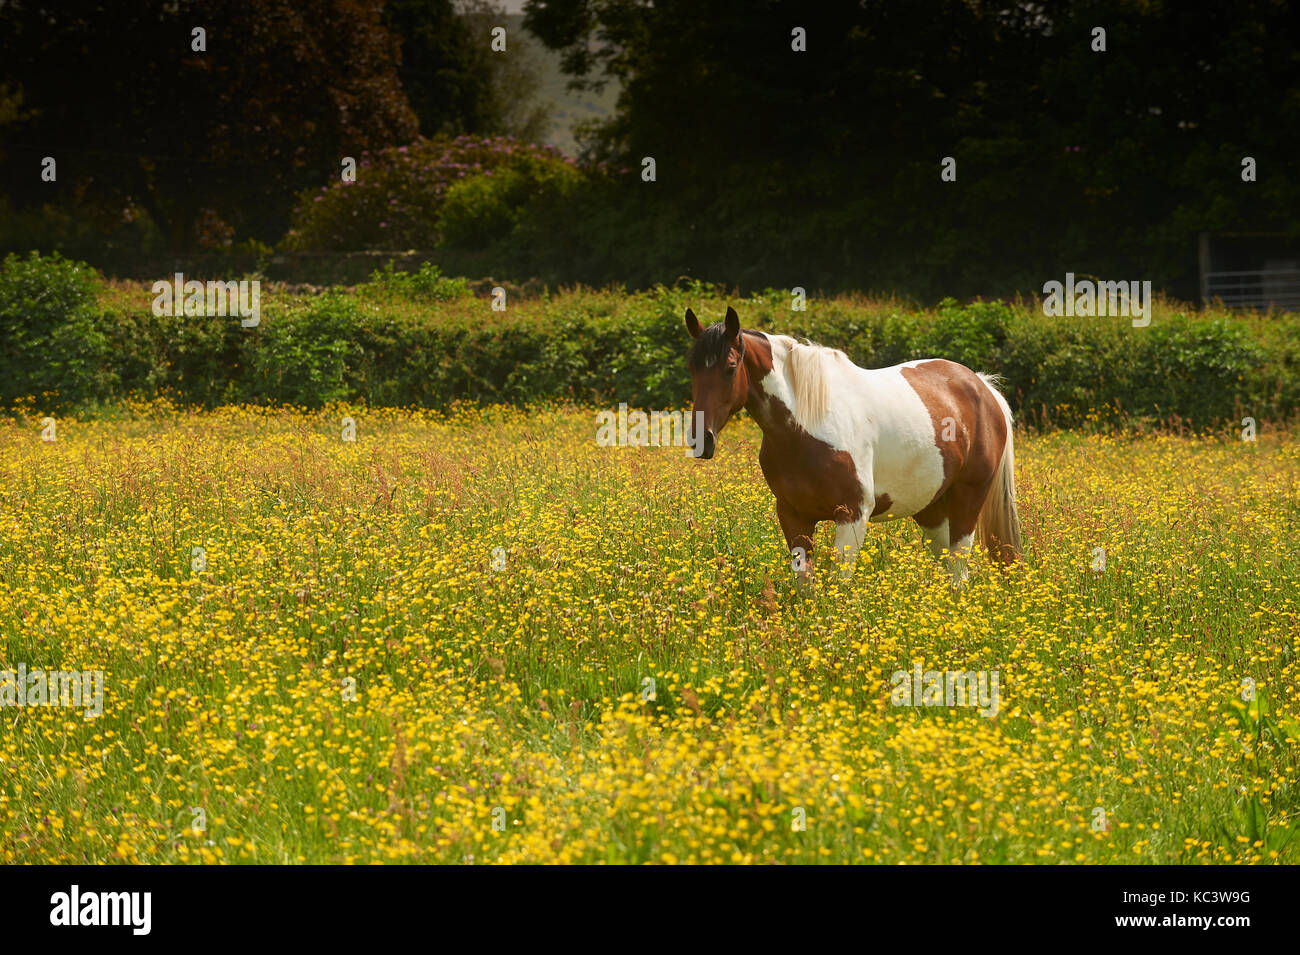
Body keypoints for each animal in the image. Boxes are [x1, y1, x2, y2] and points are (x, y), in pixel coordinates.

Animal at [685, 306, 1022, 588]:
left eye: (730, 367)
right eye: (692, 368)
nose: (702, 440)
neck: (807, 424)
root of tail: (982, 386)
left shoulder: (853, 515)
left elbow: (840, 586)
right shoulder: (793, 515)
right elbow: (804, 584)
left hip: (968, 498)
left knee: (958, 568)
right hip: (930, 508)